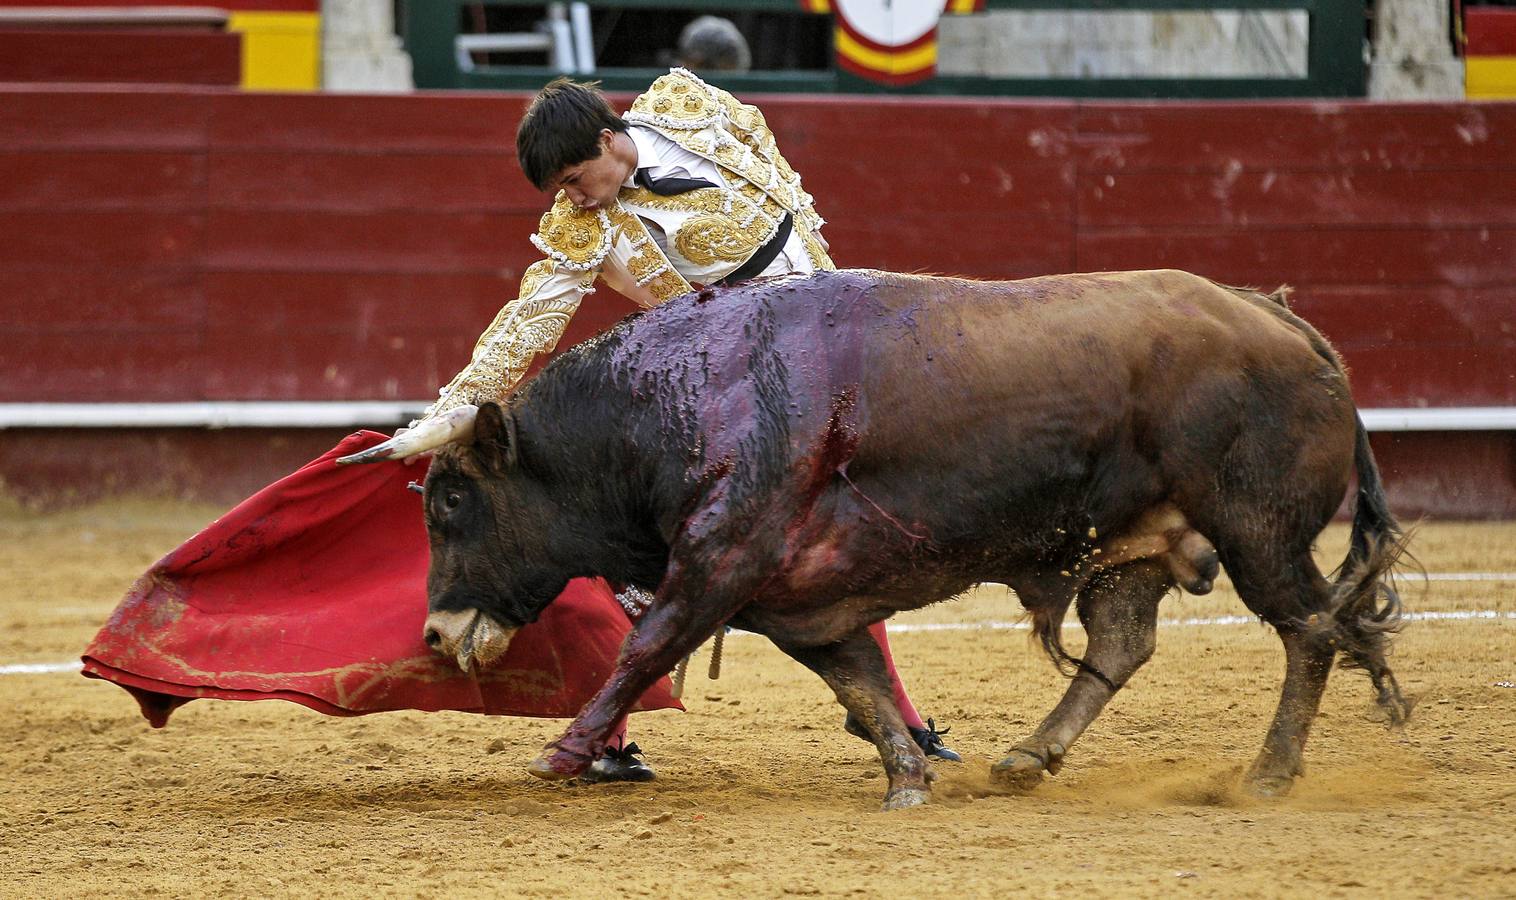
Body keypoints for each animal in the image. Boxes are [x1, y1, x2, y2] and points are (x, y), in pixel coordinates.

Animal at [344, 266, 1406, 806]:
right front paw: (905, 772)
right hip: (1139, 538)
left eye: (449, 503)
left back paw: (1268, 774)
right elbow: (853, 676)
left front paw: (563, 753)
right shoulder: (795, 599)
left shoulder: (720, 561)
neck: (671, 403)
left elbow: (643, 649)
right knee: (1124, 639)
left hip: (1258, 528)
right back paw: (1029, 757)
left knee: (1311, 630)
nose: (435, 634)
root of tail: (1285, 322)